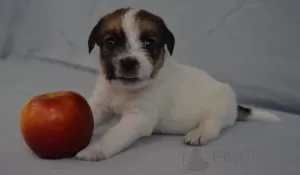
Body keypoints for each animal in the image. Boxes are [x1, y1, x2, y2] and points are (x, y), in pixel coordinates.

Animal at [74, 7, 280, 161]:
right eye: (110, 42)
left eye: (149, 43)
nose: (129, 62)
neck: (123, 91)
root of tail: (235, 105)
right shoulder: (100, 104)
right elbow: (92, 113)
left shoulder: (139, 116)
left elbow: (115, 134)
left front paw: (96, 149)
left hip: (218, 109)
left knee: (212, 126)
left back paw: (199, 134)